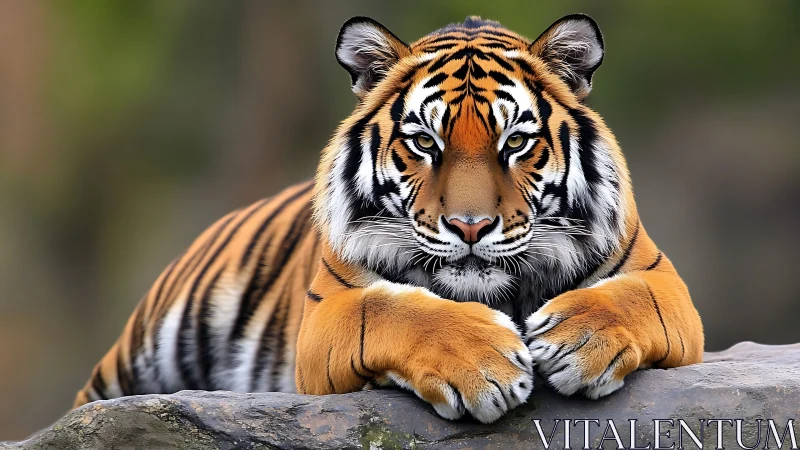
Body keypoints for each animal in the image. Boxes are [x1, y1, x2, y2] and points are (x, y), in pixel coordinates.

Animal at [74, 14, 704, 424]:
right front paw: (485, 364)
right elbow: (393, 309)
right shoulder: (330, 310)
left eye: (516, 142)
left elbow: (630, 298)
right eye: (425, 142)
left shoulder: (664, 281)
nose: (470, 227)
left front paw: (578, 340)